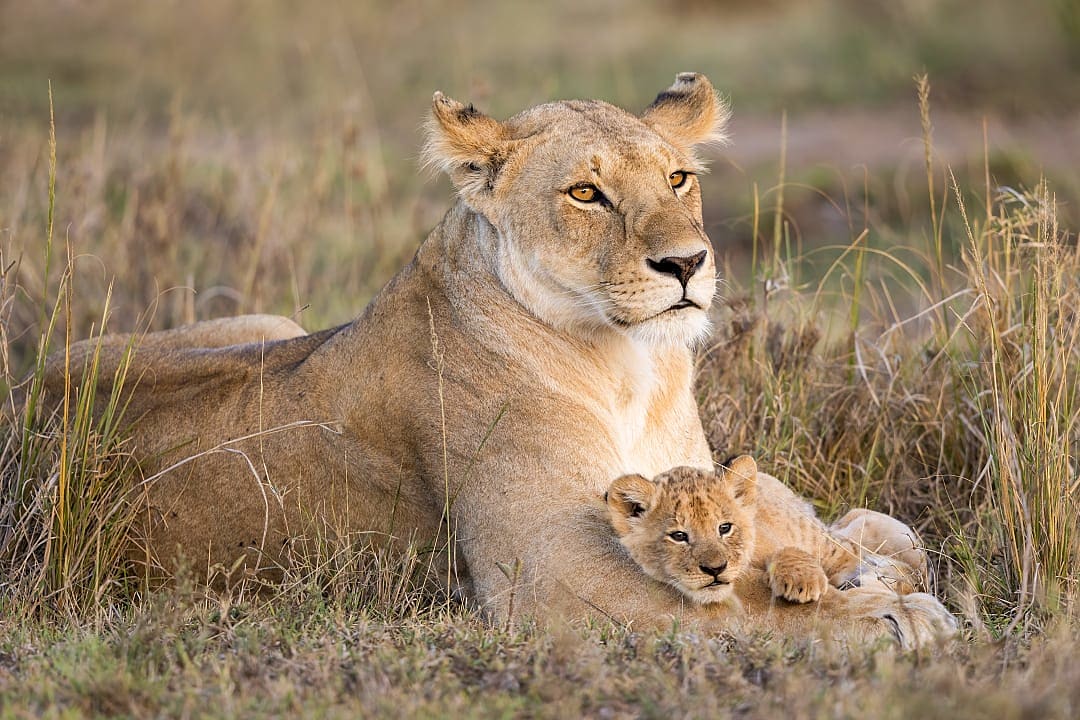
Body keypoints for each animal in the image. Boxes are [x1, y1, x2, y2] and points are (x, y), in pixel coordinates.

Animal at [606, 457, 928, 609]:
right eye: (679, 536)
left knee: (888, 563)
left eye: (725, 528)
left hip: (826, 539)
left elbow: (786, 549)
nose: (715, 569)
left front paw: (802, 582)